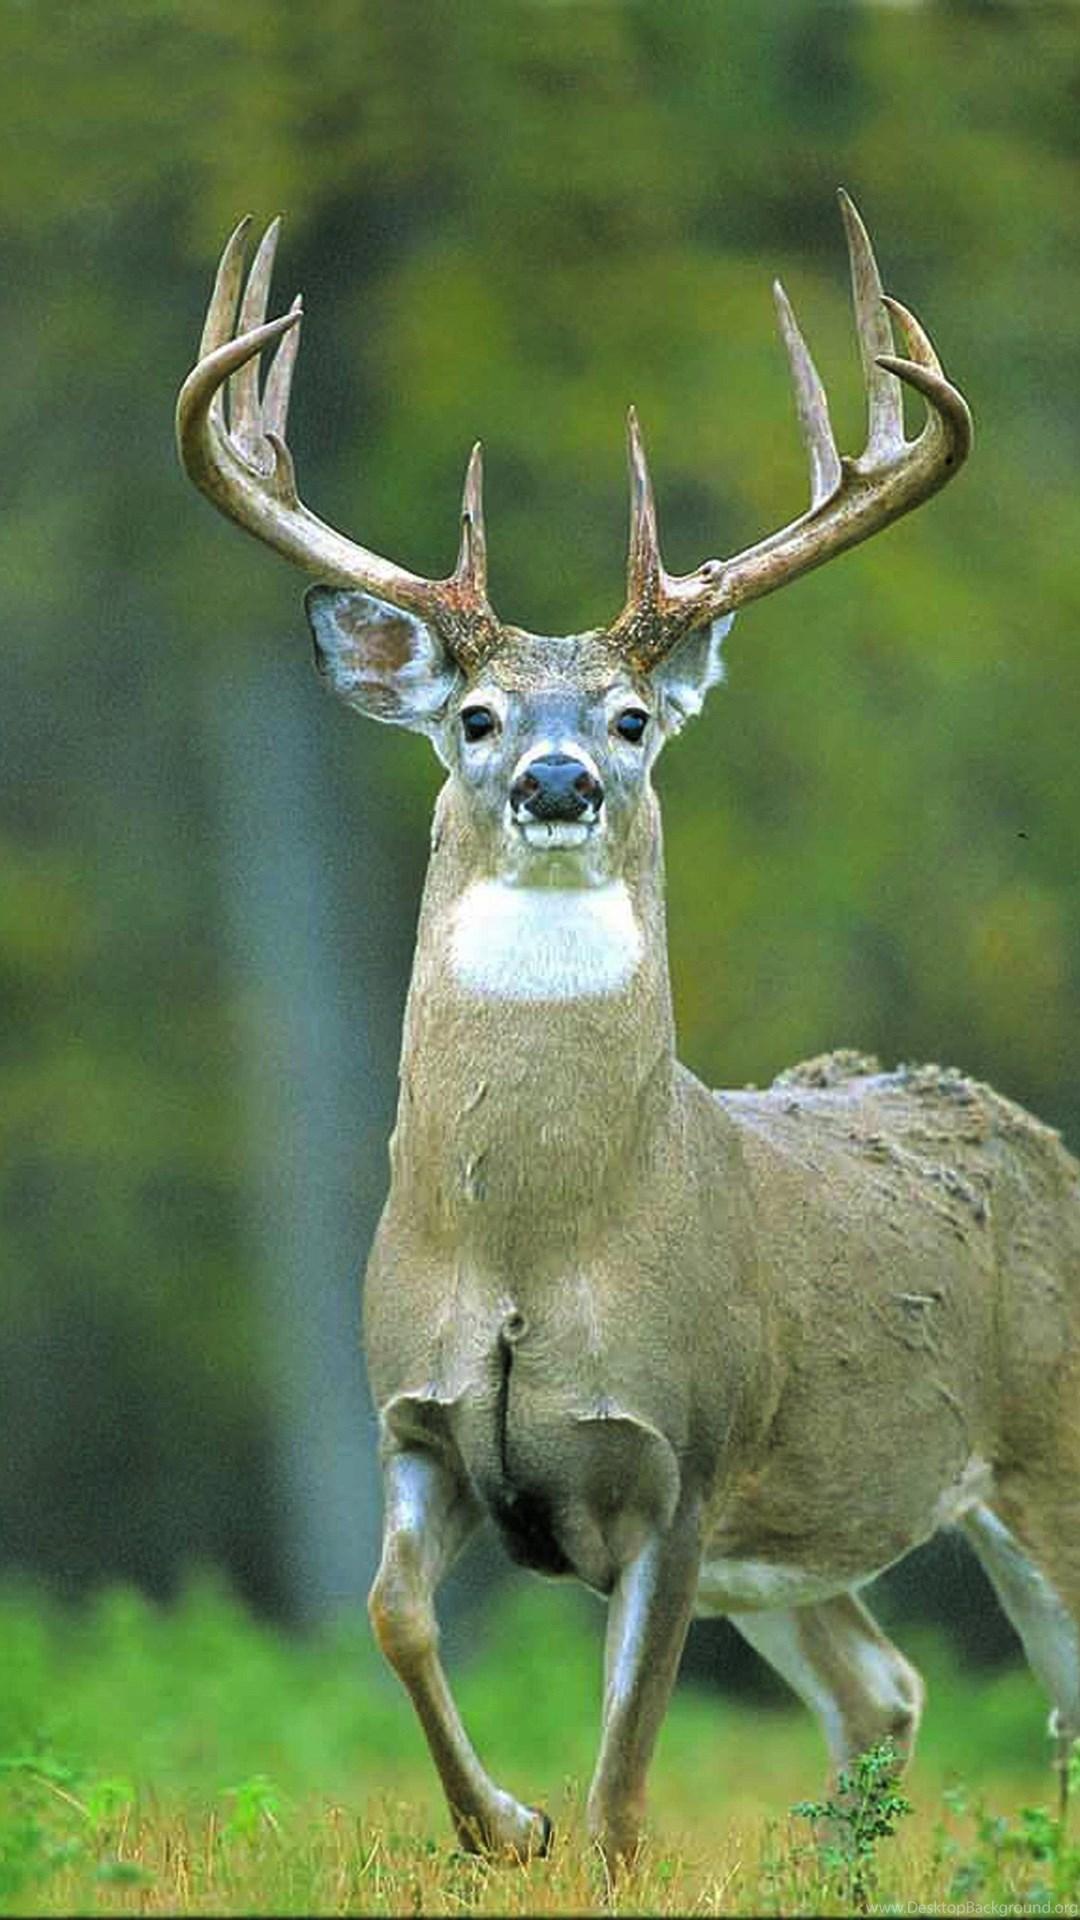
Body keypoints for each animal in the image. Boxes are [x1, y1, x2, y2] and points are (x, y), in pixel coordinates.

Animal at [177, 191, 1080, 1868]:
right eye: (473, 717)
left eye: (633, 719)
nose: (557, 782)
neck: (536, 1247)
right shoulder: (414, 1420)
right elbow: (394, 1616)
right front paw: (497, 1823)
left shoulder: (687, 1459)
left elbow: (627, 1782)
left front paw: (559, 1829)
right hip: (797, 1548)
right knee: (887, 1689)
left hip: (1042, 1451)